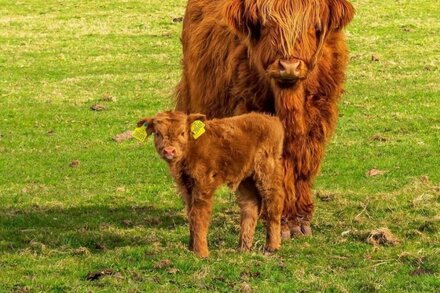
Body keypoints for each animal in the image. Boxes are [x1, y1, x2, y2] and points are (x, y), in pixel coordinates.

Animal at [139, 110, 288, 256]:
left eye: (182, 132)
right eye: (158, 133)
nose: (169, 150)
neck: (191, 147)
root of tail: (271, 119)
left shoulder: (203, 184)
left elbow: (199, 215)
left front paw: (201, 252)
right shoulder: (186, 187)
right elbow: (190, 214)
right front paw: (191, 248)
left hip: (267, 170)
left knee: (274, 200)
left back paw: (272, 246)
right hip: (245, 178)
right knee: (251, 206)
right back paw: (244, 247)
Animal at [175, 0, 354, 236]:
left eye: (313, 26)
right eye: (266, 25)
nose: (289, 67)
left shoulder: (318, 118)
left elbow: (304, 160)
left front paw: (300, 219)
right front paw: (284, 221)